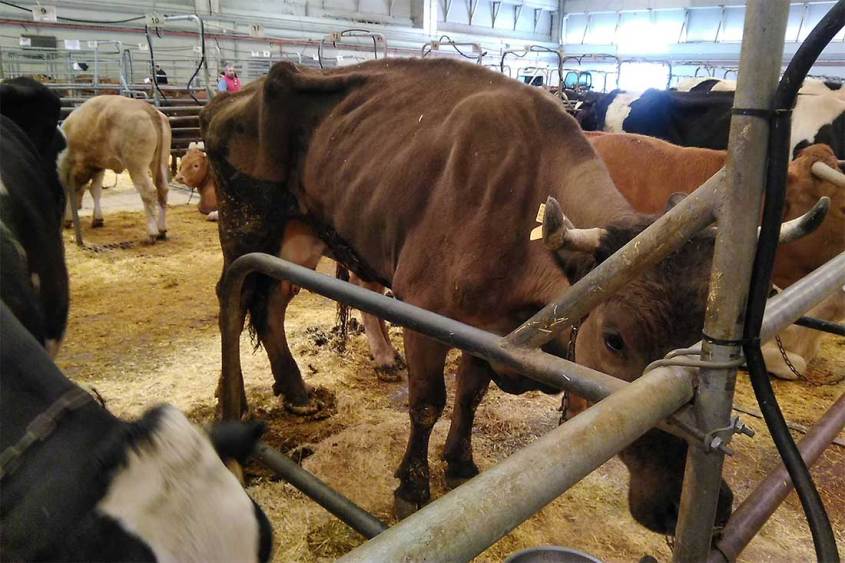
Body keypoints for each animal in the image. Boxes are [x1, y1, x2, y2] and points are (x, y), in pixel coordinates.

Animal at [60, 96, 172, 243]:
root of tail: (146, 107)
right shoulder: (98, 165)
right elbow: (95, 190)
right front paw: (97, 219)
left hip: (137, 165)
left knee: (148, 191)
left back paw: (152, 233)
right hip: (161, 162)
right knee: (162, 189)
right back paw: (162, 230)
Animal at [200, 58, 749, 535]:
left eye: (704, 339)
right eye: (614, 339)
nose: (692, 507)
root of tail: (231, 97)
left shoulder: (489, 327)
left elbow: (470, 394)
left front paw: (460, 462)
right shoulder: (424, 312)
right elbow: (427, 403)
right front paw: (412, 487)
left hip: (298, 236)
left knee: (271, 304)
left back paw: (295, 392)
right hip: (246, 224)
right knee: (232, 298)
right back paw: (232, 410)